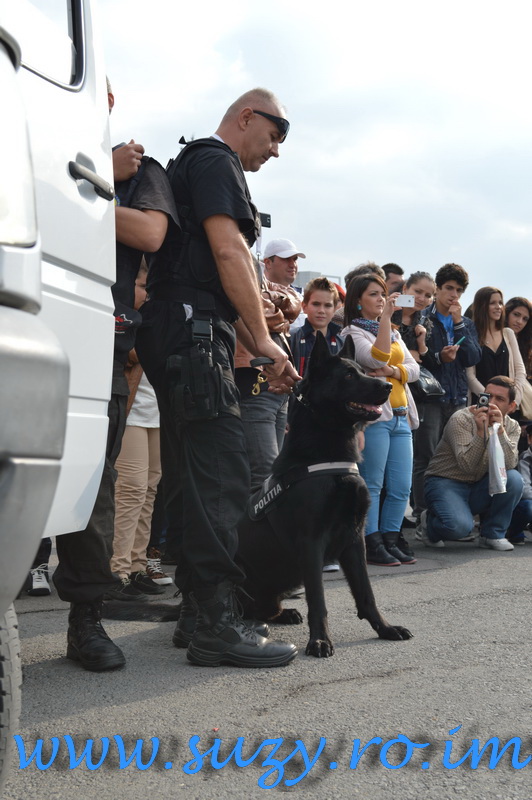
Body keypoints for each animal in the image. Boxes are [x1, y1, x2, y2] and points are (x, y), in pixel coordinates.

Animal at [236, 332, 413, 657]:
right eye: (348, 375)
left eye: (363, 371)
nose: (387, 386)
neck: (327, 454)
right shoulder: (312, 543)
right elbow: (318, 599)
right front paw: (319, 640)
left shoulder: (355, 540)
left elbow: (366, 593)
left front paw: (384, 628)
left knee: (265, 609)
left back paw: (283, 613)